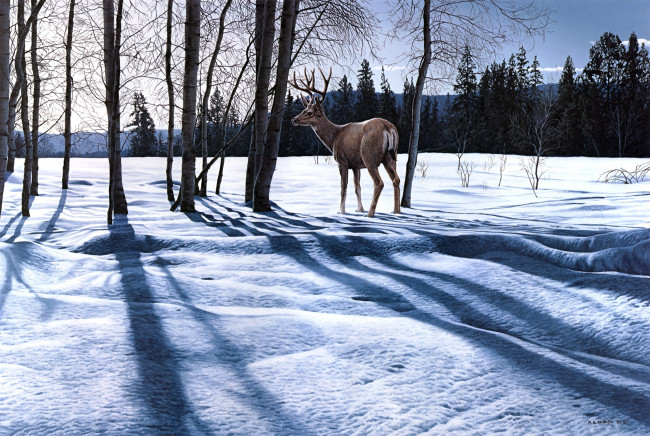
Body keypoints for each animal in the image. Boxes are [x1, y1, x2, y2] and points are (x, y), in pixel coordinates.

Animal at [289, 67, 400, 218]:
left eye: (309, 112)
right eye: (304, 109)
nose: (294, 120)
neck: (333, 138)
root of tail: (387, 127)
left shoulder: (342, 161)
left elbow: (344, 187)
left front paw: (341, 211)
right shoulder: (355, 165)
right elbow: (357, 187)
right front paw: (359, 209)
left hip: (369, 155)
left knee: (379, 183)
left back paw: (370, 214)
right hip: (390, 156)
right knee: (396, 179)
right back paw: (396, 211)